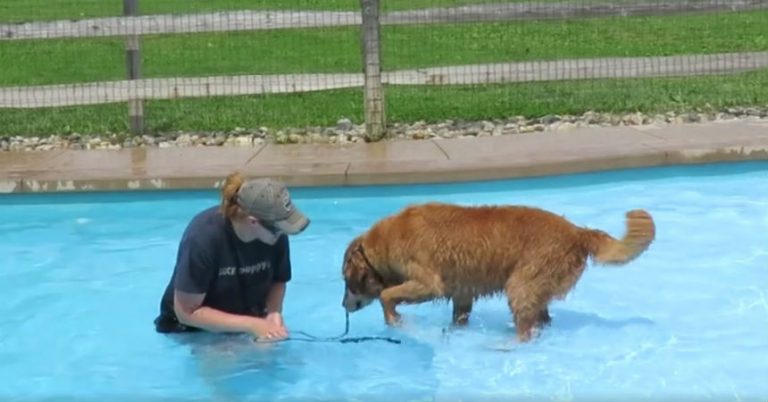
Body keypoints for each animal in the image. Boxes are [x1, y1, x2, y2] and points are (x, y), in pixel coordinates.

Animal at [340, 202, 655, 342]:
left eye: (346, 281)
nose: (343, 305)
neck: (384, 242)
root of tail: (577, 232)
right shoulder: (462, 294)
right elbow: (459, 317)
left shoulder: (429, 283)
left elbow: (387, 296)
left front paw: (395, 321)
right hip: (535, 287)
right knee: (540, 319)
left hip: (521, 284)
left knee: (526, 331)